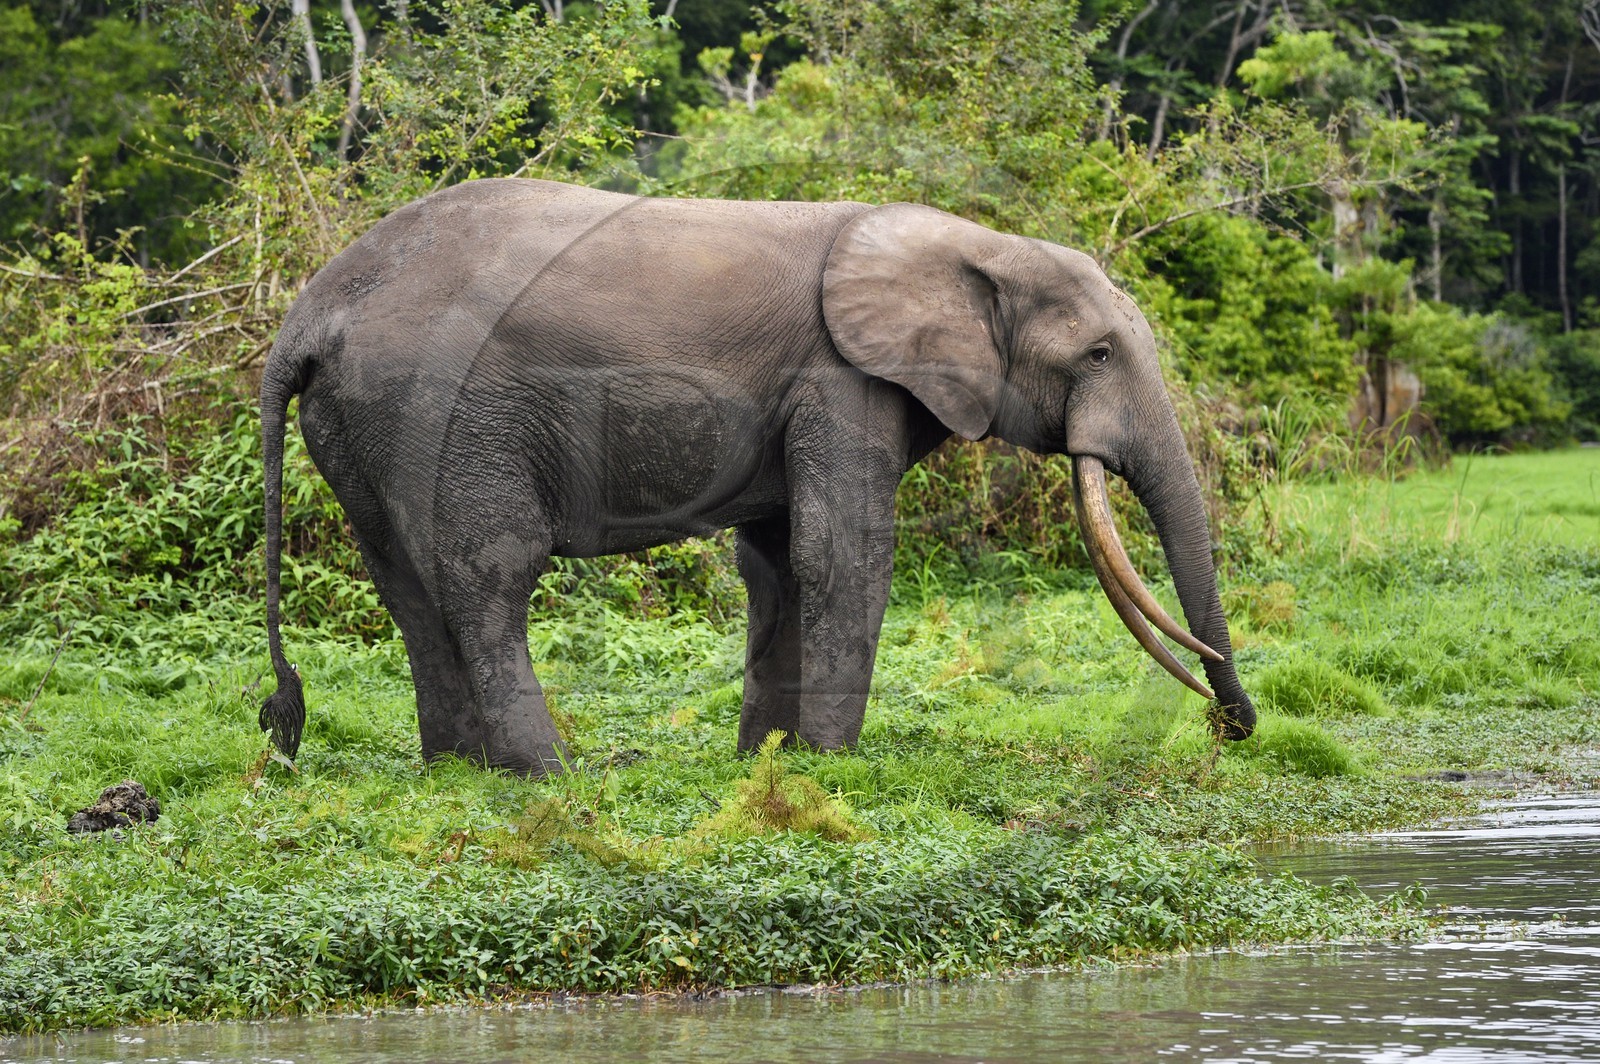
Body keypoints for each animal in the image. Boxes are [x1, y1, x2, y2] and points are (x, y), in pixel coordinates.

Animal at [259, 178, 1256, 775]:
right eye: (1097, 354)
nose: (1230, 730)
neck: (975, 244)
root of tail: (308, 313)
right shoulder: (841, 376)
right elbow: (841, 554)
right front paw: (832, 768)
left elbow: (780, 561)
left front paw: (769, 763)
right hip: (444, 412)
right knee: (488, 576)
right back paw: (550, 774)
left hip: (362, 422)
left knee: (406, 587)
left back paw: (461, 771)